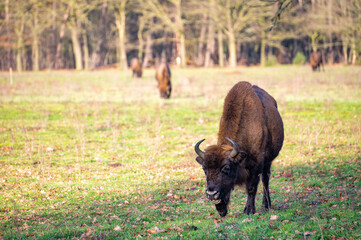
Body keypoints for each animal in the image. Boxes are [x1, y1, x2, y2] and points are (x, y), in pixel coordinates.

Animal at [194, 81, 284, 217]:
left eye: (226, 168)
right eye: (204, 169)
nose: (211, 194)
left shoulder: (256, 164)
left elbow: (251, 187)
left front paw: (249, 210)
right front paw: (222, 210)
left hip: (268, 161)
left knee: (265, 179)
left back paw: (266, 205)